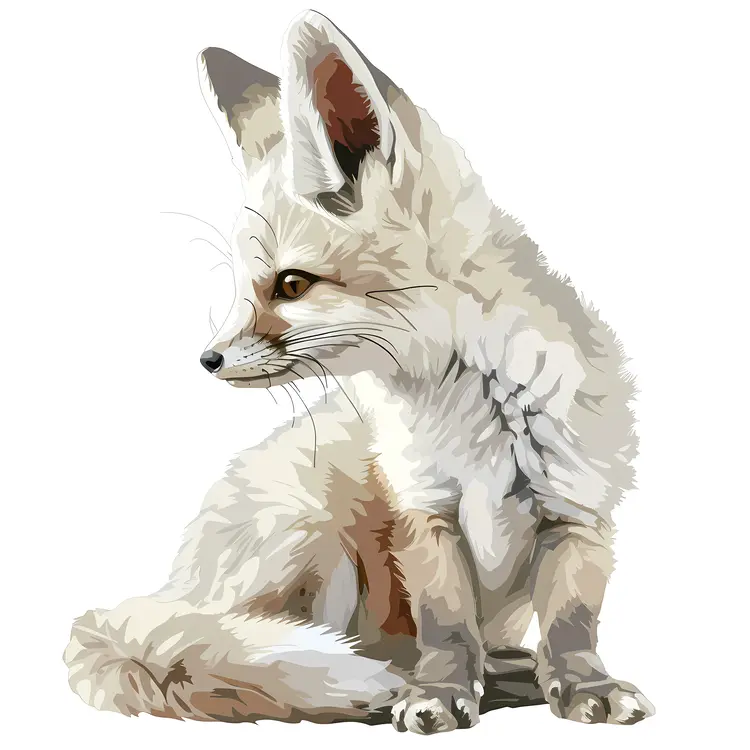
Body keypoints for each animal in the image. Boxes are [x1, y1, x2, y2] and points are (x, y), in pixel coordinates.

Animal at [64, 10, 654, 734]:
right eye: (241, 287)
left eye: (291, 285)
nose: (206, 361)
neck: (481, 416)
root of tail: (174, 584)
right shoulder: (423, 512)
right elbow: (448, 628)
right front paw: (439, 694)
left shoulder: (577, 510)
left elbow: (572, 625)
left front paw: (583, 687)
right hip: (311, 525)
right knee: (252, 647)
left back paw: (509, 672)